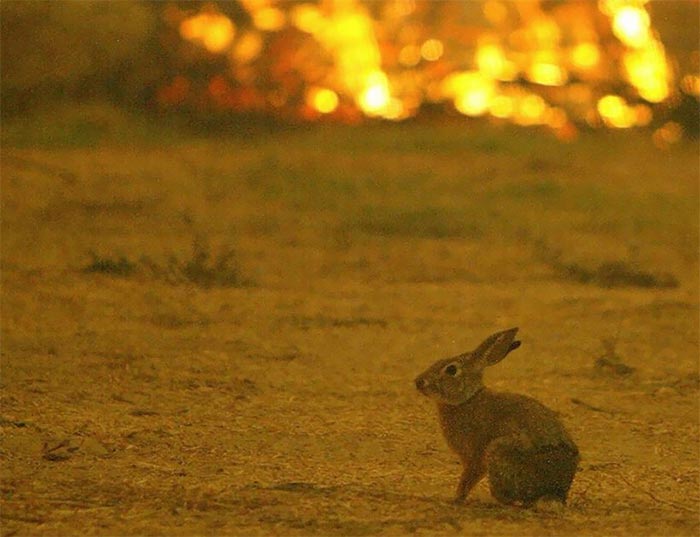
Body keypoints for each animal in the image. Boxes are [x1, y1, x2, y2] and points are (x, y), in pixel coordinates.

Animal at [416, 326, 580, 506]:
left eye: (451, 370)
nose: (419, 382)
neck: (467, 399)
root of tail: (555, 492)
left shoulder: (475, 456)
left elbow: (467, 479)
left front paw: (454, 499)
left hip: (499, 450)